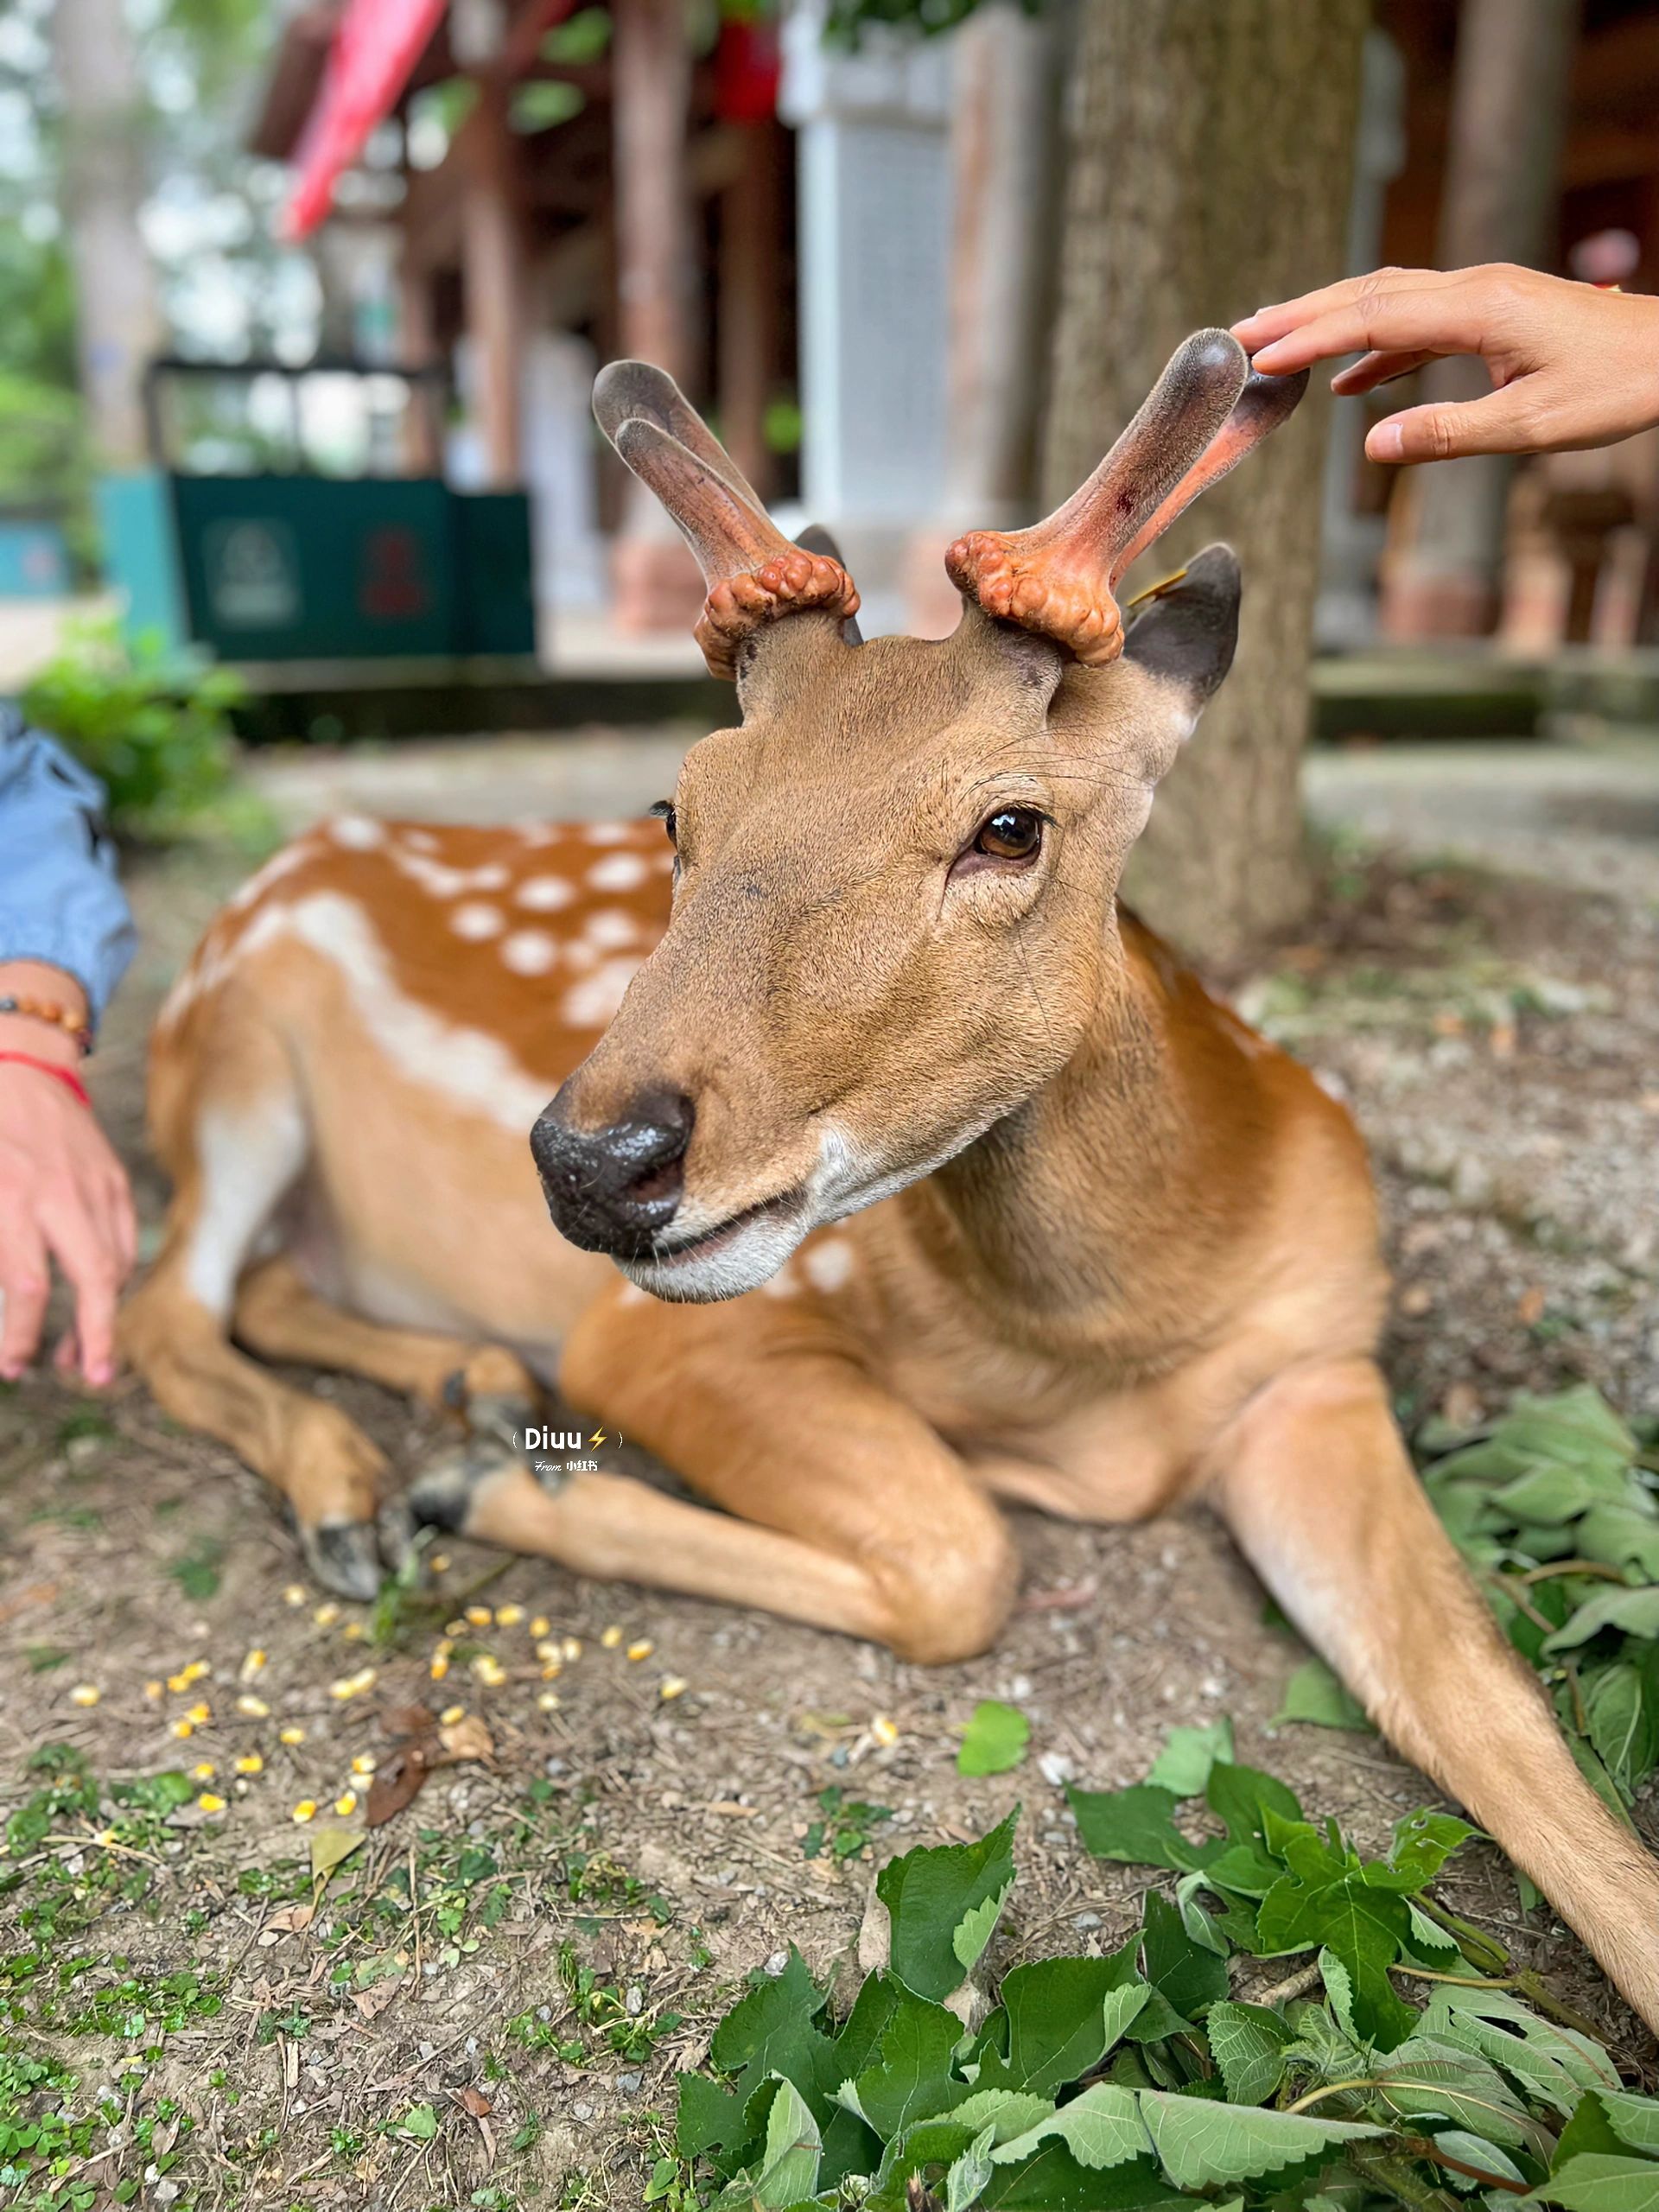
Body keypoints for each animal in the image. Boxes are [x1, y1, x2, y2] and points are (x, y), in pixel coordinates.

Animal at [121, 330, 1659, 2031]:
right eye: (678, 805)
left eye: (1011, 823)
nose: (593, 1163)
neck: (1106, 1353)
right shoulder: (660, 1326)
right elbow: (964, 1559)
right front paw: (500, 1489)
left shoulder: (1318, 1364)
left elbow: (1491, 1704)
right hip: (232, 1053)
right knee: (160, 1304)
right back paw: (369, 1495)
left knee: (259, 1286)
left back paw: (461, 1390)